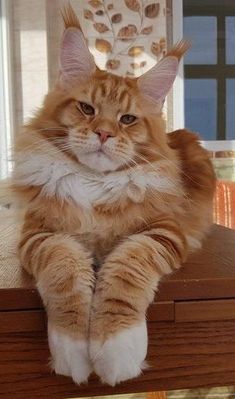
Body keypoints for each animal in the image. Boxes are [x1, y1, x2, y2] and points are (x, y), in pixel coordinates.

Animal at [11, 5, 216, 388]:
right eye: (87, 109)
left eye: (128, 119)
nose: (104, 134)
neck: (94, 183)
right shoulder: (42, 233)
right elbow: (65, 272)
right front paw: (72, 349)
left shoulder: (162, 232)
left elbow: (124, 271)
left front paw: (117, 348)